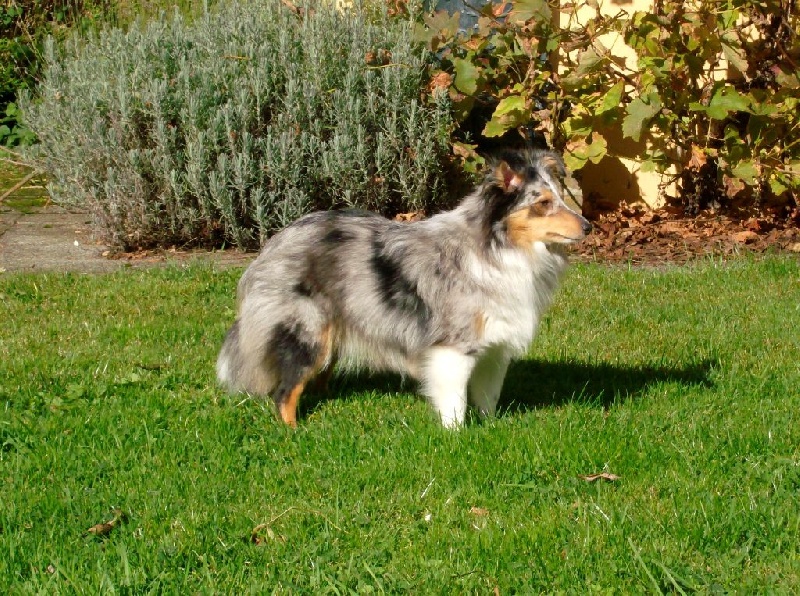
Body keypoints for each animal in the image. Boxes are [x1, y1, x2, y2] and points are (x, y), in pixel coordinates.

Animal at [216, 149, 591, 427]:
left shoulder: (495, 347)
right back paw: (295, 432)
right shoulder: (453, 347)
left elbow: (489, 396)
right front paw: (456, 437)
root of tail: (273, 243)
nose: (588, 226)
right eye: (542, 203)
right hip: (307, 330)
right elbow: (454, 401)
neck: (498, 250)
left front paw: (491, 427)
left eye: (560, 198)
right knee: (285, 391)